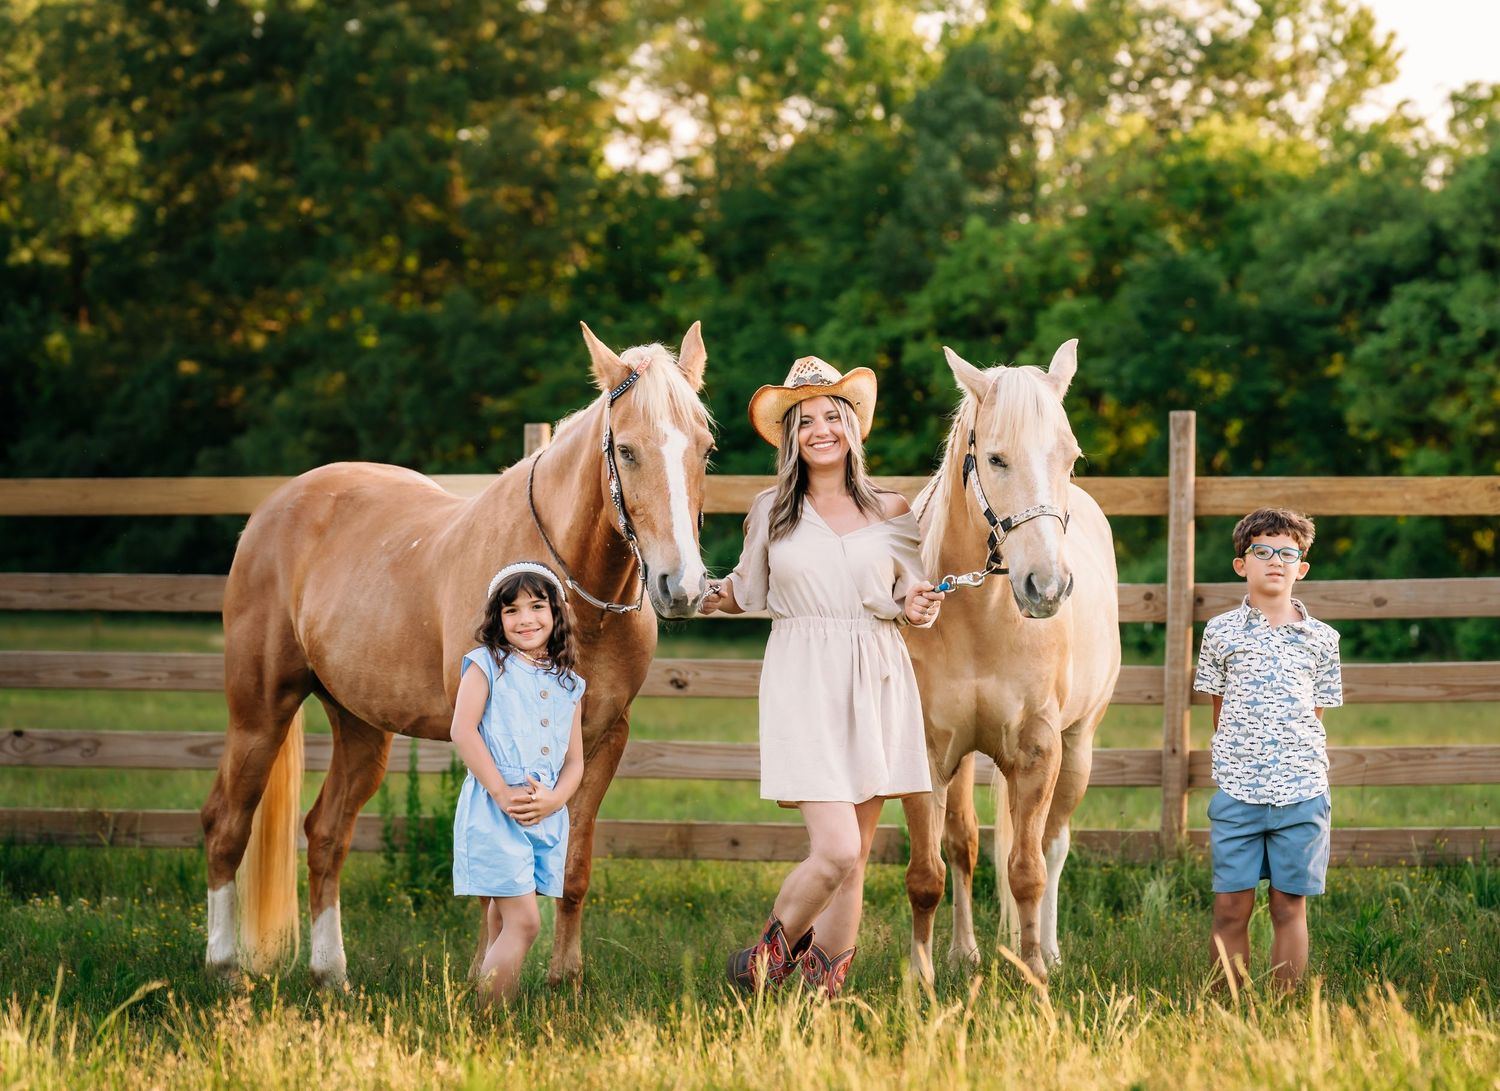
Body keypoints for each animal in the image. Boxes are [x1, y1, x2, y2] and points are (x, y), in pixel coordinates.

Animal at [200, 321, 715, 986]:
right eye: (626, 451)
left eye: (704, 450)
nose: (683, 586)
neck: (567, 594)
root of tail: (271, 511)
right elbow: (496, 876)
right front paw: (488, 975)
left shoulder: (604, 739)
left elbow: (574, 867)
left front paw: (564, 979)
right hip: (260, 712)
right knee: (226, 824)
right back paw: (222, 965)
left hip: (360, 725)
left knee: (326, 834)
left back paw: (331, 973)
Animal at [900, 339, 1121, 985]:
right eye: (996, 459)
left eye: (1071, 458)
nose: (1046, 587)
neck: (982, 619)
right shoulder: (926, 751)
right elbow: (929, 874)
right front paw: (921, 978)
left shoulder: (1038, 749)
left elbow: (1027, 869)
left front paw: (1035, 974)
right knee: (963, 845)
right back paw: (964, 952)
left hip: (1079, 748)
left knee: (1053, 844)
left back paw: (1047, 948)